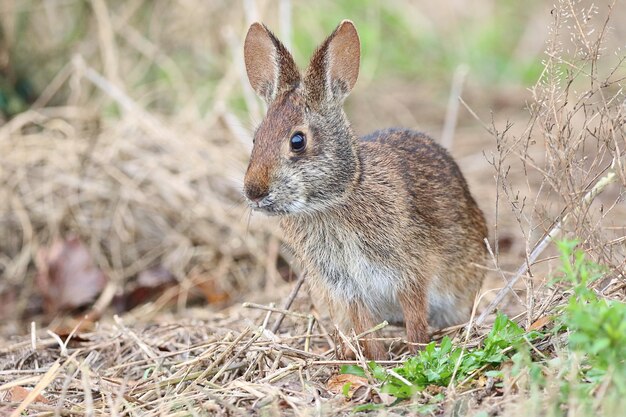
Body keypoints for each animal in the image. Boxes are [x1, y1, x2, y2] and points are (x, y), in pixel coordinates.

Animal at [241, 19, 486, 358]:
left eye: (297, 141)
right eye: (255, 139)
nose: (254, 192)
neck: (336, 199)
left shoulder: (409, 272)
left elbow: (415, 316)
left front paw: (415, 353)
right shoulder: (347, 288)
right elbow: (366, 328)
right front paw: (377, 362)